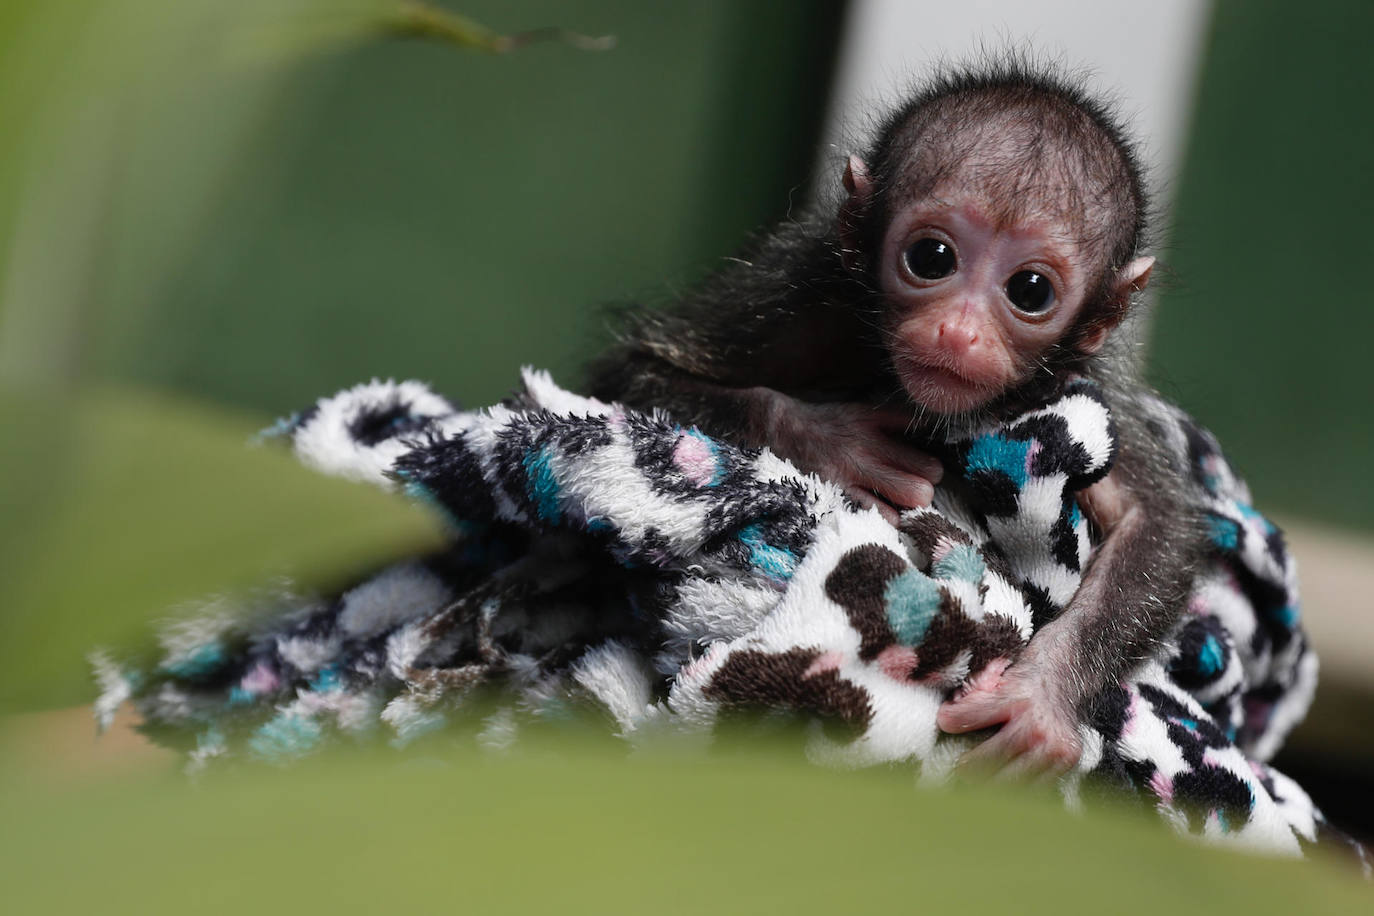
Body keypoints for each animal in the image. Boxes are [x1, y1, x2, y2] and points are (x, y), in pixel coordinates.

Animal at [585, 58, 1211, 779]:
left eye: (1030, 291)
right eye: (931, 258)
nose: (958, 333)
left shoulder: (1078, 387)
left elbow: (1155, 521)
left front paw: (1042, 695)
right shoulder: (803, 298)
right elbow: (632, 373)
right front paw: (832, 441)